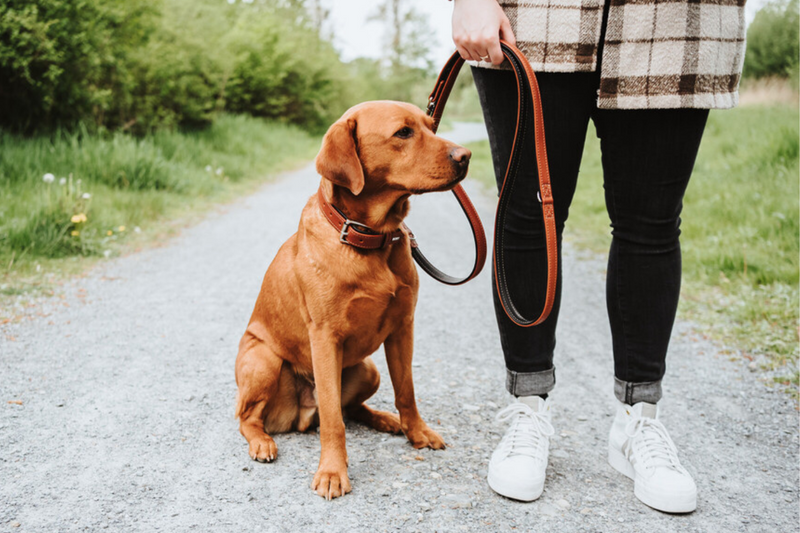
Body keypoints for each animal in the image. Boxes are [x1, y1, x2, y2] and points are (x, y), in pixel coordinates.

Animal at [233, 100, 468, 498]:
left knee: (353, 408)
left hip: (369, 369)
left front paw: (417, 432)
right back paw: (262, 441)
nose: (465, 156)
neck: (370, 237)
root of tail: (299, 416)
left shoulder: (403, 328)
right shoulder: (325, 338)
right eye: (403, 132)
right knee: (247, 417)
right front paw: (332, 471)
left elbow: (407, 392)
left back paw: (385, 419)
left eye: (431, 126)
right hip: (263, 361)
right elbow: (332, 418)